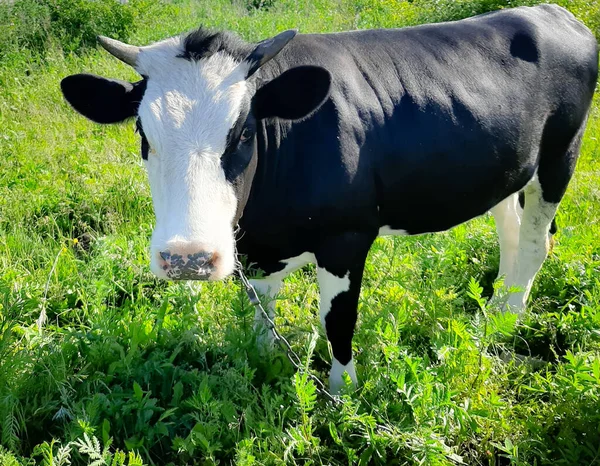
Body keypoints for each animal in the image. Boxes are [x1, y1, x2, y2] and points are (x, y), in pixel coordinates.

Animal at [59, 5, 596, 392]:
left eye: (244, 131)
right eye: (142, 133)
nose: (188, 258)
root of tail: (552, 12)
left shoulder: (346, 237)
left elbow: (337, 319)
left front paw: (343, 392)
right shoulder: (256, 249)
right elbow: (261, 312)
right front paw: (265, 361)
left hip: (559, 156)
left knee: (537, 242)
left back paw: (503, 323)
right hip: (506, 170)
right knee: (511, 231)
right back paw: (497, 306)